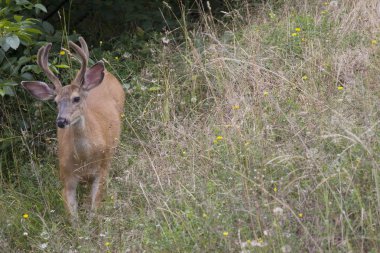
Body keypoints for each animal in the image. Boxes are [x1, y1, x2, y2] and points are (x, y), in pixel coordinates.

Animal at [21, 37, 125, 221]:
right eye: (55, 102)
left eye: (76, 98)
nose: (61, 121)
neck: (84, 159)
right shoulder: (66, 176)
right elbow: (73, 218)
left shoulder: (102, 170)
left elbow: (93, 210)